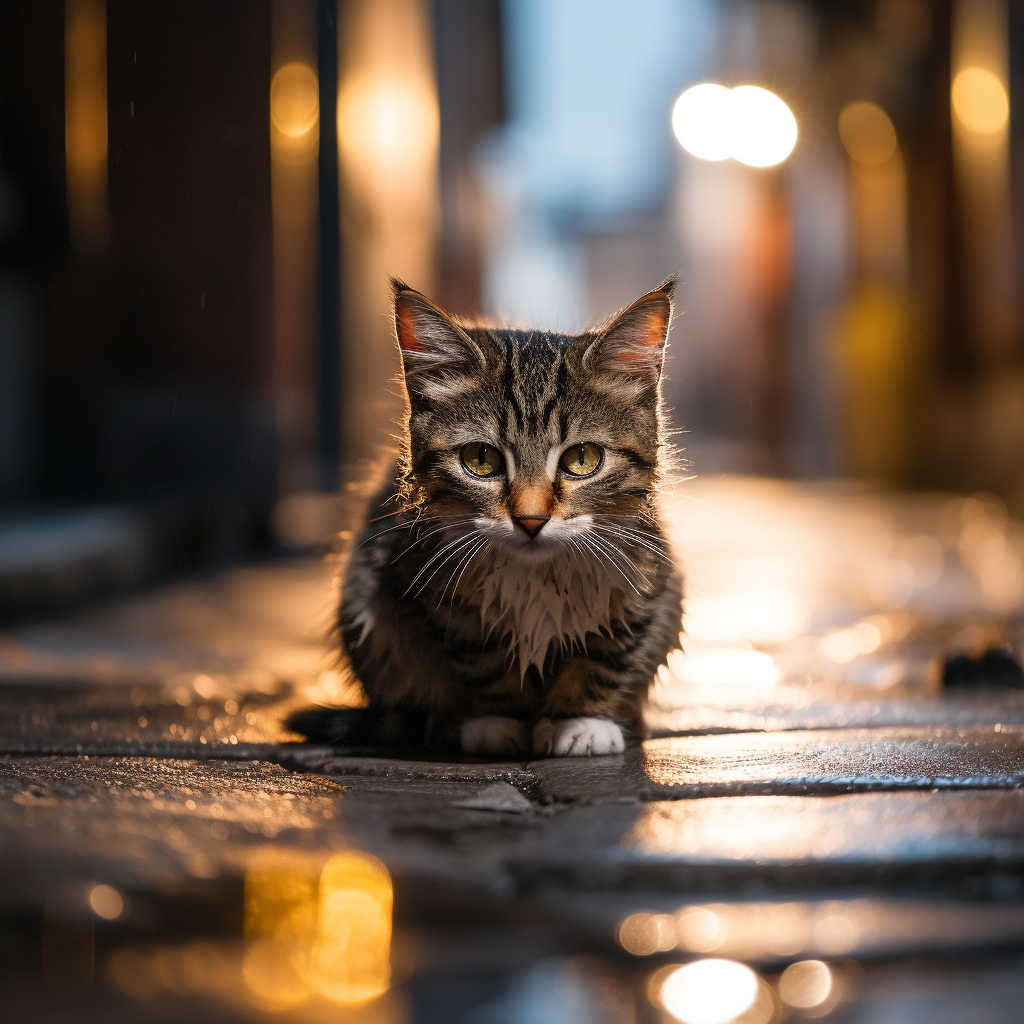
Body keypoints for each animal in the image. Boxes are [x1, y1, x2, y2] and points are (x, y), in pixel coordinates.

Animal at [288, 276, 684, 757]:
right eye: (480, 459)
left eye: (583, 459)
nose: (531, 520)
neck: (534, 576)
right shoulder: (434, 587)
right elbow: (481, 659)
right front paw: (496, 723)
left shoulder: (645, 579)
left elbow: (607, 654)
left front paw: (580, 721)